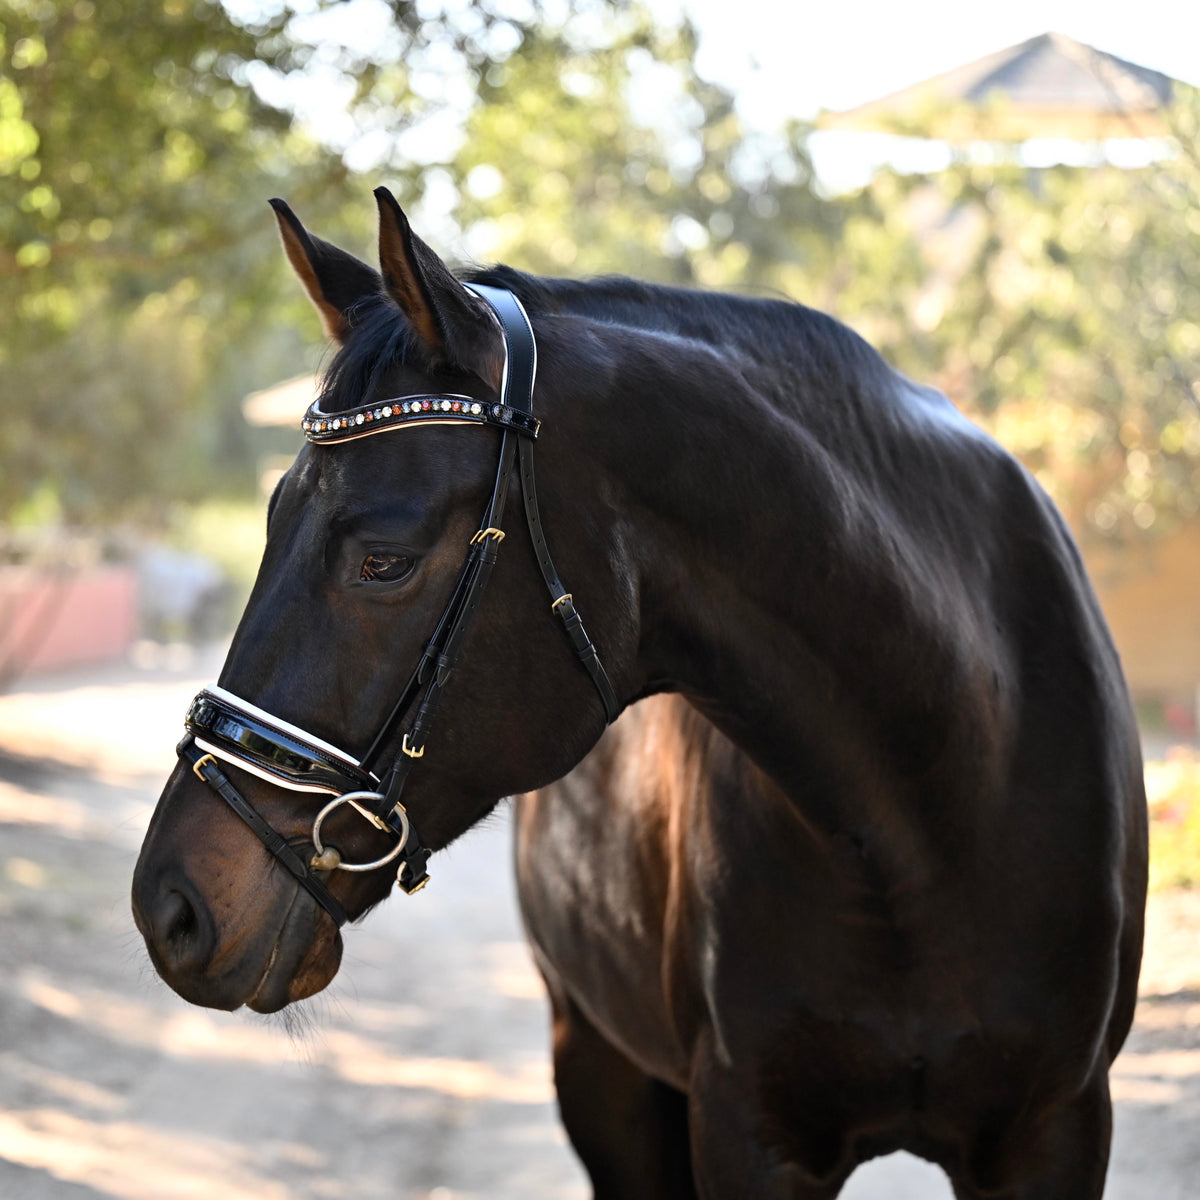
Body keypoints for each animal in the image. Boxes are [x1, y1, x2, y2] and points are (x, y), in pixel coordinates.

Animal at [129, 192, 1142, 1195]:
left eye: (385, 561)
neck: (927, 820)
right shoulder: (747, 1133)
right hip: (599, 1069)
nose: (169, 907)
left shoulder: (1054, 1131)